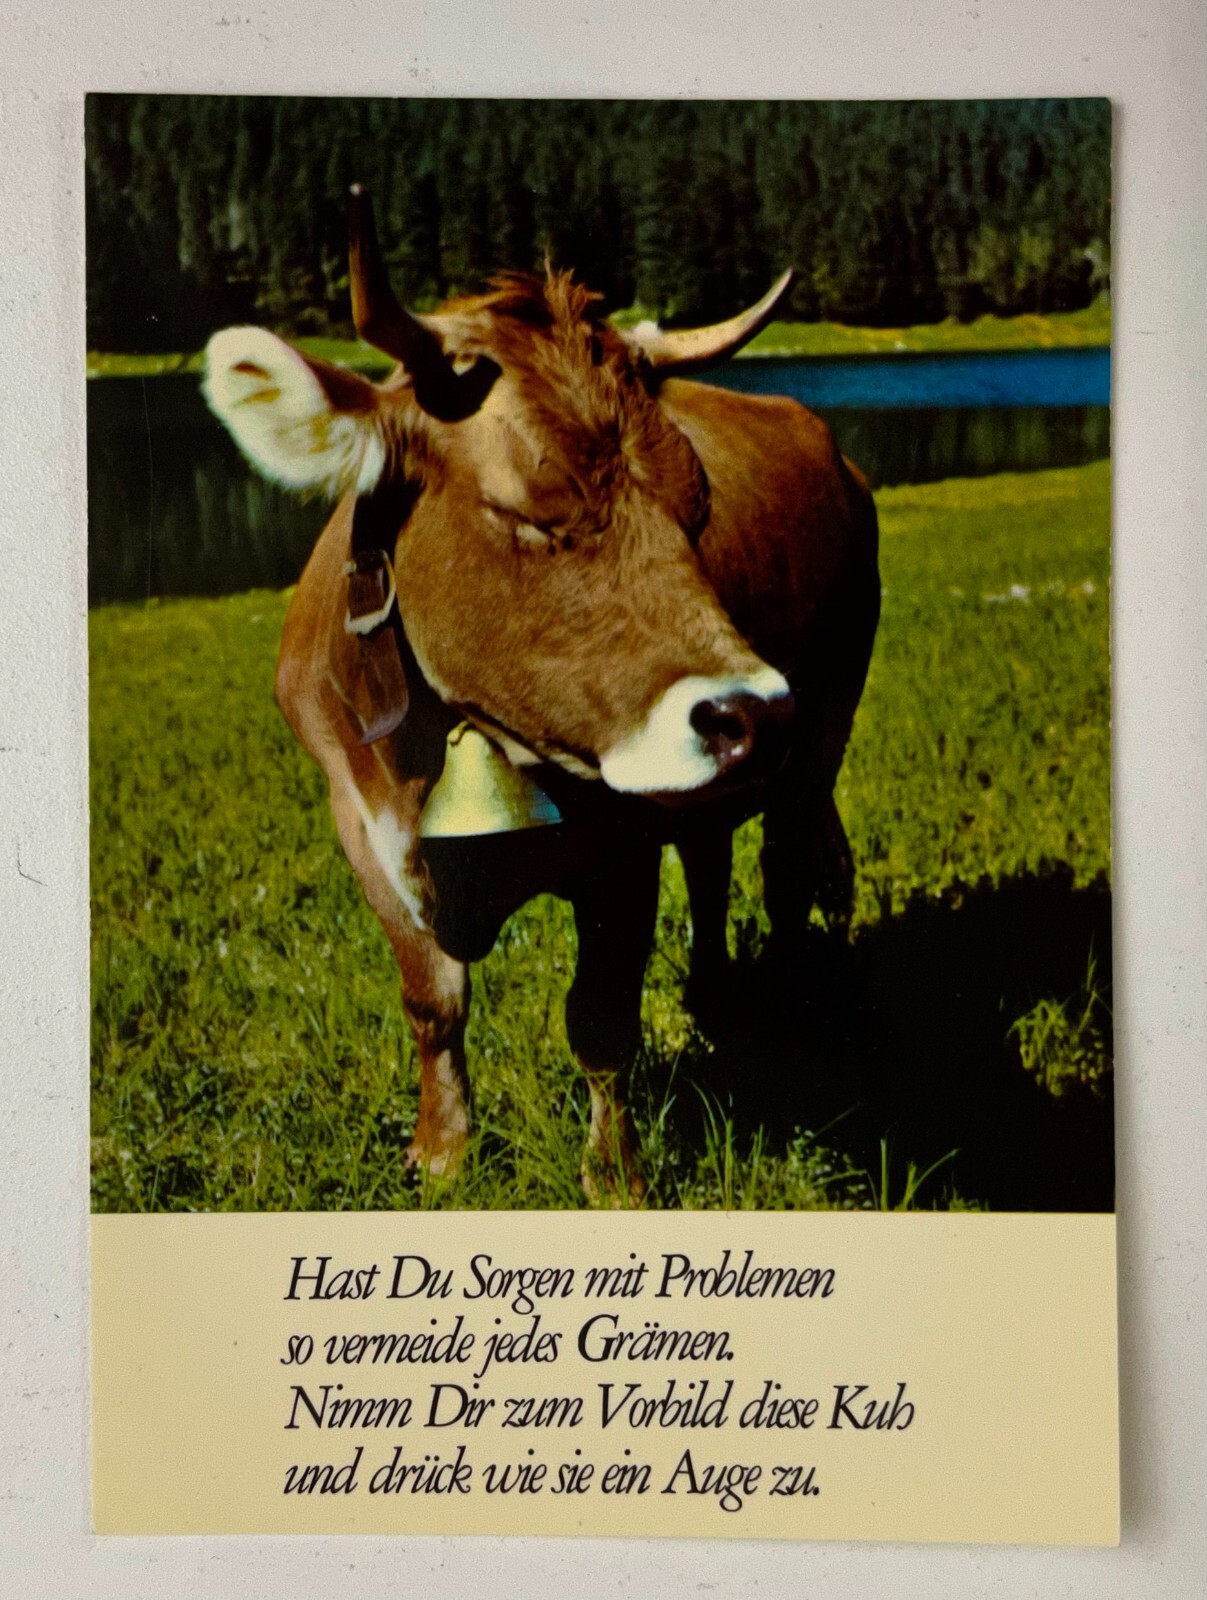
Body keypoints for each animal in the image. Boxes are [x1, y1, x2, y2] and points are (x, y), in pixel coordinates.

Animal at [203, 187, 880, 1205]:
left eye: (696, 506)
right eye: (528, 510)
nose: (754, 714)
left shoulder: (621, 846)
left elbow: (599, 1019)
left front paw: (616, 1178)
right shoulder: (360, 823)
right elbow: (432, 1002)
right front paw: (442, 1154)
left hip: (823, 735)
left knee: (793, 868)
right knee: (714, 857)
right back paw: (712, 993)